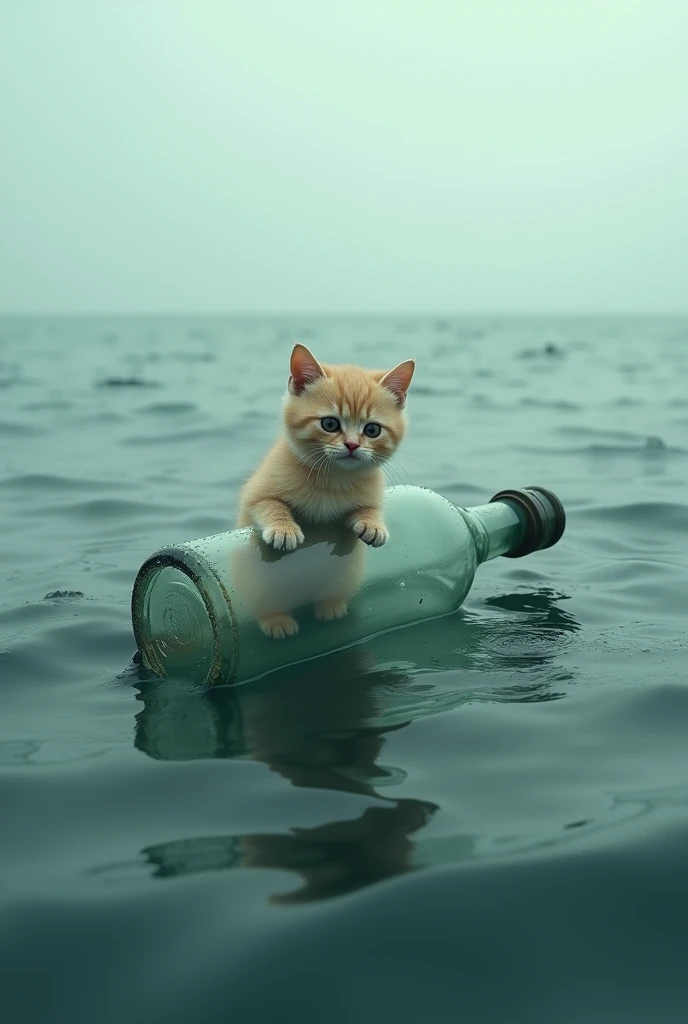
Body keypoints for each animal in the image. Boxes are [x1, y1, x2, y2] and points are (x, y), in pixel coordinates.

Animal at [236, 342, 413, 638]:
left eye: (372, 430)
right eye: (330, 424)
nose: (352, 445)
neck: (333, 479)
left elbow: (367, 508)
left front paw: (373, 524)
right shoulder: (254, 495)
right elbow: (269, 503)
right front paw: (284, 529)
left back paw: (331, 605)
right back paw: (276, 621)